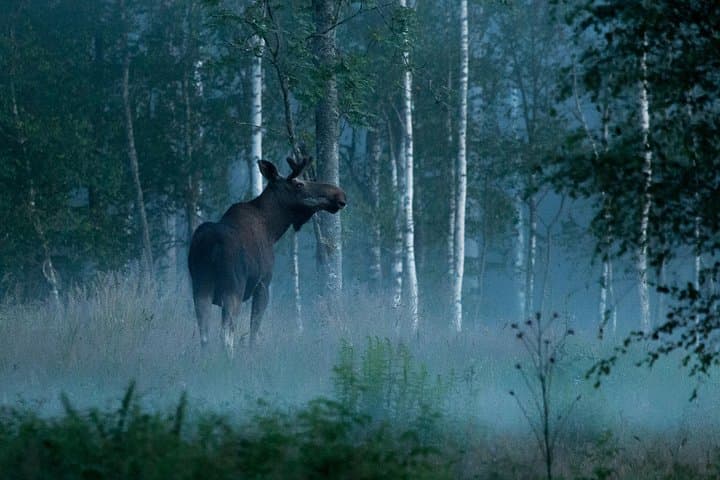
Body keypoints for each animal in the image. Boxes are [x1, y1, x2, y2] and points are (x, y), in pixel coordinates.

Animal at [188, 155, 346, 355]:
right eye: (299, 184)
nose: (339, 195)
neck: (273, 229)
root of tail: (211, 246)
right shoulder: (263, 283)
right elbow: (254, 332)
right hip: (233, 287)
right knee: (226, 335)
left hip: (201, 285)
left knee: (204, 335)